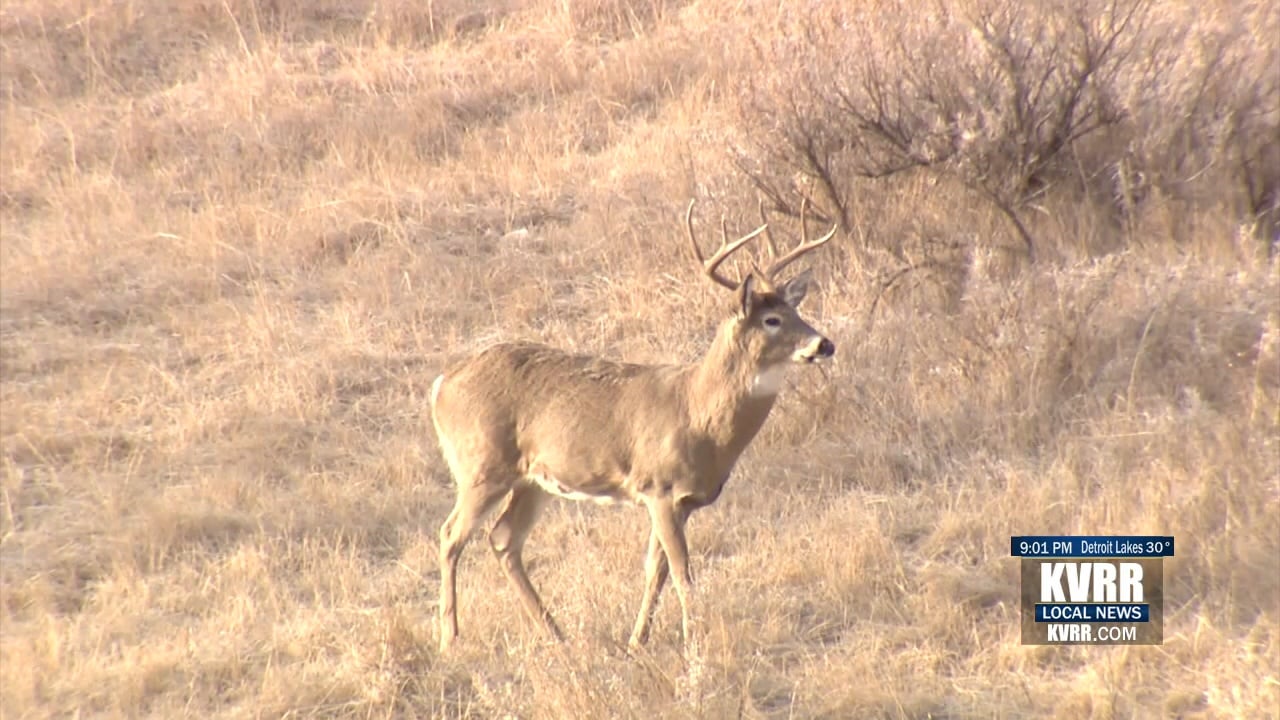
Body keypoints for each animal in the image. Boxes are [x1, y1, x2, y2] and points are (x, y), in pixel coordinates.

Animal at [429, 199, 837, 653]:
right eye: (771, 320)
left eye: (796, 310)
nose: (824, 344)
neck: (697, 413)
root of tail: (442, 383)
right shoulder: (659, 488)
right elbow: (681, 572)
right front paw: (693, 646)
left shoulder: (683, 502)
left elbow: (655, 571)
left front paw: (636, 641)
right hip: (481, 466)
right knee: (450, 535)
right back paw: (449, 639)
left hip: (533, 480)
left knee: (503, 539)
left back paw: (557, 634)